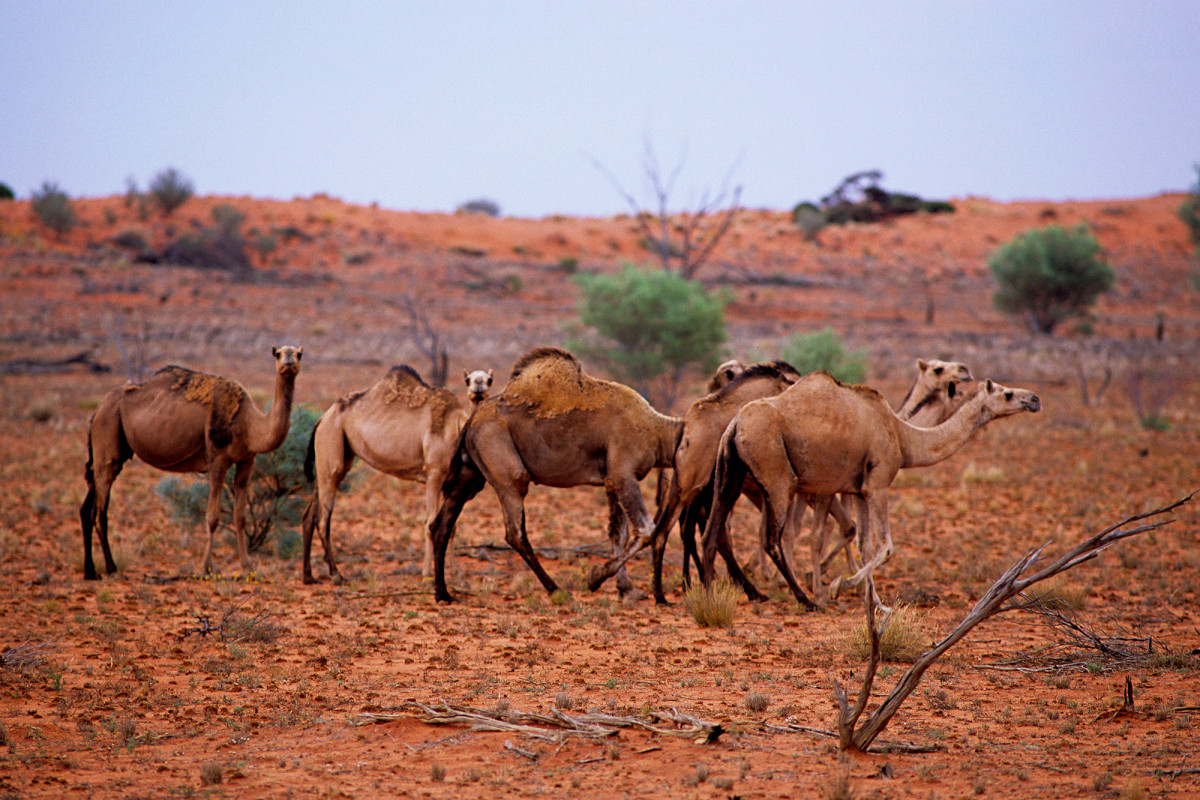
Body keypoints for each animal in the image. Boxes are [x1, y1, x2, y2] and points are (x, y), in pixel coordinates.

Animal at [81, 347, 304, 578]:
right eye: (278, 353)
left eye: (299, 354)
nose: (288, 361)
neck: (249, 423)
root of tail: (97, 410)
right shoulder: (217, 458)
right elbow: (212, 516)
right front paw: (205, 568)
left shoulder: (246, 461)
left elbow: (240, 517)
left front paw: (247, 568)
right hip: (107, 432)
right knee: (100, 511)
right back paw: (111, 568)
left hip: (112, 448)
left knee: (88, 508)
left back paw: (90, 572)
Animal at [304, 367, 492, 585]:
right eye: (468, 379)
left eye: (489, 380)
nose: (478, 385)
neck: (455, 428)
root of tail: (321, 419)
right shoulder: (434, 474)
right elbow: (430, 523)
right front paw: (427, 574)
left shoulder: (449, 483)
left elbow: (450, 527)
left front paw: (456, 574)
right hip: (331, 445)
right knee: (323, 519)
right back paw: (336, 574)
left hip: (329, 458)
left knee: (309, 514)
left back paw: (308, 576)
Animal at [427, 347, 681, 604]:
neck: (657, 431)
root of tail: (470, 422)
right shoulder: (624, 476)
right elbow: (646, 530)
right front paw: (595, 578)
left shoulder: (613, 480)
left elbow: (618, 533)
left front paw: (627, 589)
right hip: (505, 468)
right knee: (515, 531)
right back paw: (555, 588)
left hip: (470, 474)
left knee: (441, 524)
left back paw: (442, 592)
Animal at [700, 371, 1041, 609]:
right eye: (1008, 393)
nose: (1035, 399)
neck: (903, 437)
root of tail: (735, 424)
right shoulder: (878, 485)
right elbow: (886, 547)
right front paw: (838, 586)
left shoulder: (859, 491)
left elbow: (865, 546)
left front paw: (875, 603)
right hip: (777, 473)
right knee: (773, 539)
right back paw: (805, 599)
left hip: (731, 472)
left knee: (713, 529)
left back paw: (710, 590)